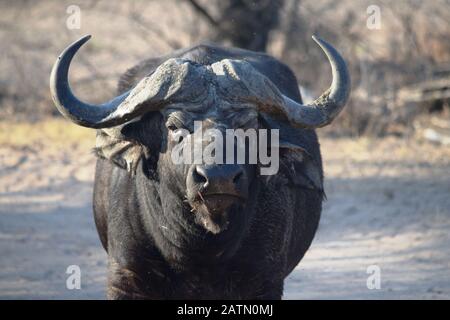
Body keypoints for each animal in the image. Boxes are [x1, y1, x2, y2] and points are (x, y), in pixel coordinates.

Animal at [50, 33, 352, 298]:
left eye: (249, 124)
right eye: (173, 126)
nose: (219, 178)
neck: (199, 249)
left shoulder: (263, 281)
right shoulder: (125, 277)